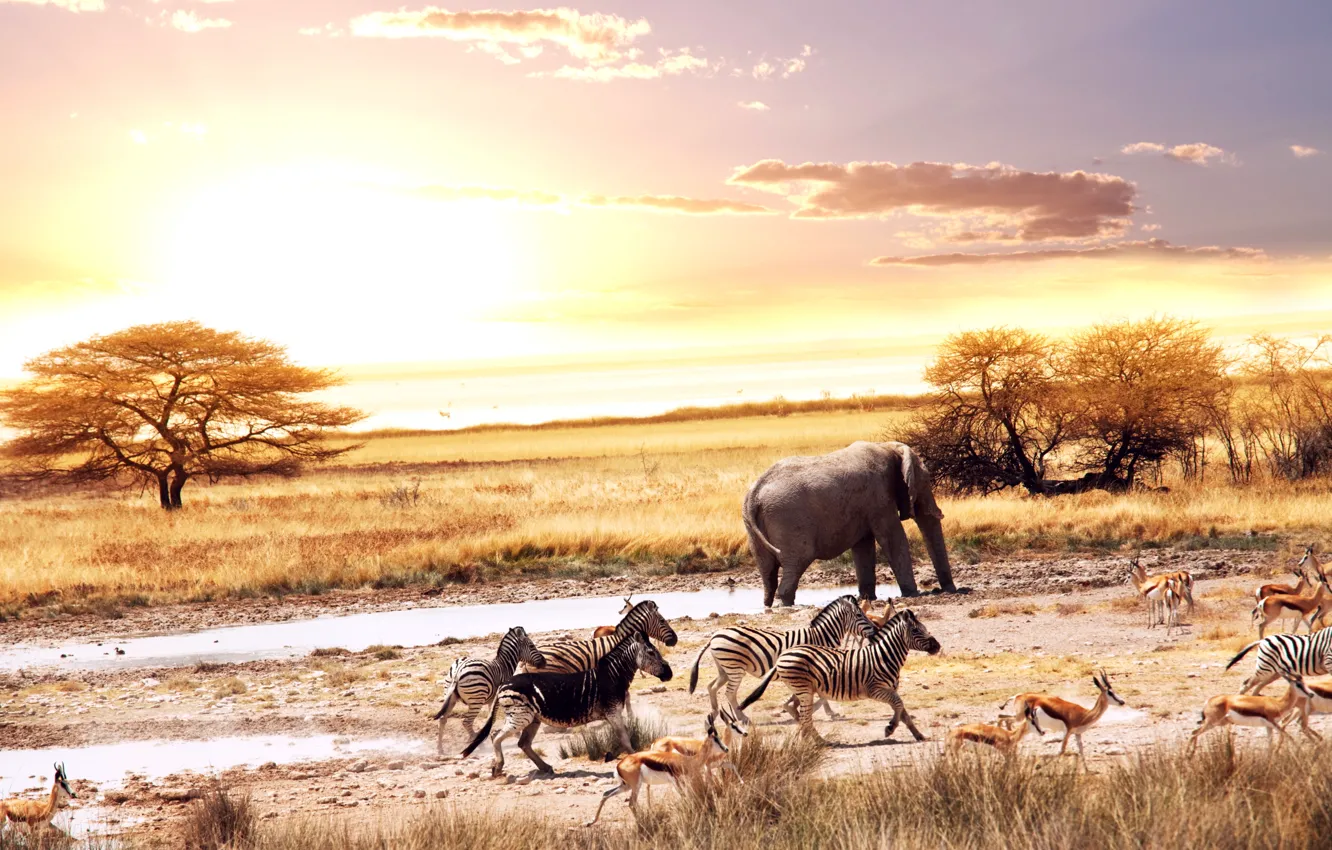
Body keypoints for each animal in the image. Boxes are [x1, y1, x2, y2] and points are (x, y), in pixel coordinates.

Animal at [432, 626, 546, 755]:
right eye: (531, 646)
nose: (544, 662)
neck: (504, 666)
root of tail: (459, 669)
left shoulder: (492, 700)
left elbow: (491, 719)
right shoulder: (503, 698)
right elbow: (502, 717)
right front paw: (515, 733)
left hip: (450, 696)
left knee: (442, 720)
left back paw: (440, 749)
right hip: (476, 699)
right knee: (466, 722)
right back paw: (479, 745)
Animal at [460, 632, 672, 777]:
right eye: (651, 652)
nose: (669, 674)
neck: (612, 676)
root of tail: (503, 684)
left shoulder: (612, 714)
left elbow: (622, 739)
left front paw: (612, 755)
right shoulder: (613, 712)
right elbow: (626, 738)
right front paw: (634, 758)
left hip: (532, 719)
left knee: (523, 743)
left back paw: (545, 767)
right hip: (520, 716)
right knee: (496, 736)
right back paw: (498, 767)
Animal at [686, 594, 877, 723]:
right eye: (860, 615)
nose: (876, 630)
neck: (820, 637)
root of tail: (715, 635)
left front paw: (823, 712)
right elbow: (820, 695)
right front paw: (823, 712)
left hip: (724, 668)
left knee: (711, 686)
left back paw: (714, 712)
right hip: (734, 668)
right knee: (729, 693)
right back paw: (742, 717)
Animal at [739, 608, 941, 741]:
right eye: (916, 630)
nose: (937, 646)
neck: (884, 656)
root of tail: (783, 654)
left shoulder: (891, 689)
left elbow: (904, 712)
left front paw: (918, 735)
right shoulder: (875, 690)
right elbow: (899, 705)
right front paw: (890, 728)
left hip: (803, 690)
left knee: (795, 710)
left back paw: (811, 738)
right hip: (804, 690)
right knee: (804, 717)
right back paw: (817, 741)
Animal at [743, 440, 955, 607]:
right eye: (926, 481)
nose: (948, 590)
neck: (888, 447)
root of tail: (754, 493)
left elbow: (863, 546)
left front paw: (868, 598)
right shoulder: (879, 497)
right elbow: (892, 538)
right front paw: (912, 594)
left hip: (754, 525)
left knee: (767, 571)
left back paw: (769, 605)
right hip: (787, 519)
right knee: (798, 561)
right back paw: (785, 604)